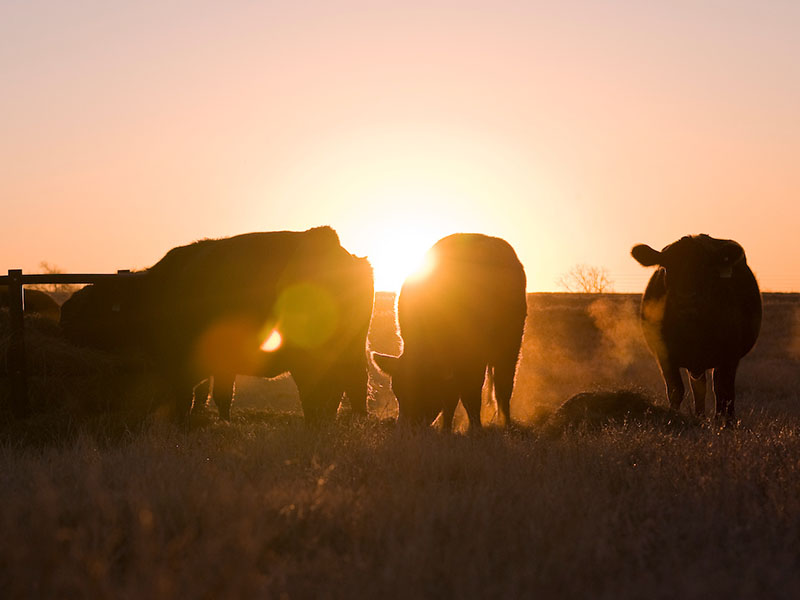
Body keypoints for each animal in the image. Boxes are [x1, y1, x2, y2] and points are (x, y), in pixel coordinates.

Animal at [60, 227, 374, 424]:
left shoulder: (182, 365)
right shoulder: (221, 365)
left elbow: (187, 399)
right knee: (355, 385)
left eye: (93, 304)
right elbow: (221, 396)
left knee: (324, 389)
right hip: (351, 349)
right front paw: (223, 423)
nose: (64, 318)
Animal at [373, 233, 527, 430]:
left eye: (424, 387)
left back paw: (505, 425)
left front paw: (475, 430)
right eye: (397, 391)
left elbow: (470, 393)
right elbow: (451, 397)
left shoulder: (473, 355)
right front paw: (445, 430)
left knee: (504, 384)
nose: (405, 428)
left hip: (512, 340)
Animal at [631, 234, 761, 426]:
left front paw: (723, 423)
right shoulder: (664, 354)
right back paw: (700, 416)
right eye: (667, 268)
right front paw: (673, 417)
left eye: (704, 267)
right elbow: (675, 389)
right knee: (699, 388)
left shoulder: (729, 355)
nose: (686, 299)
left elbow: (723, 389)